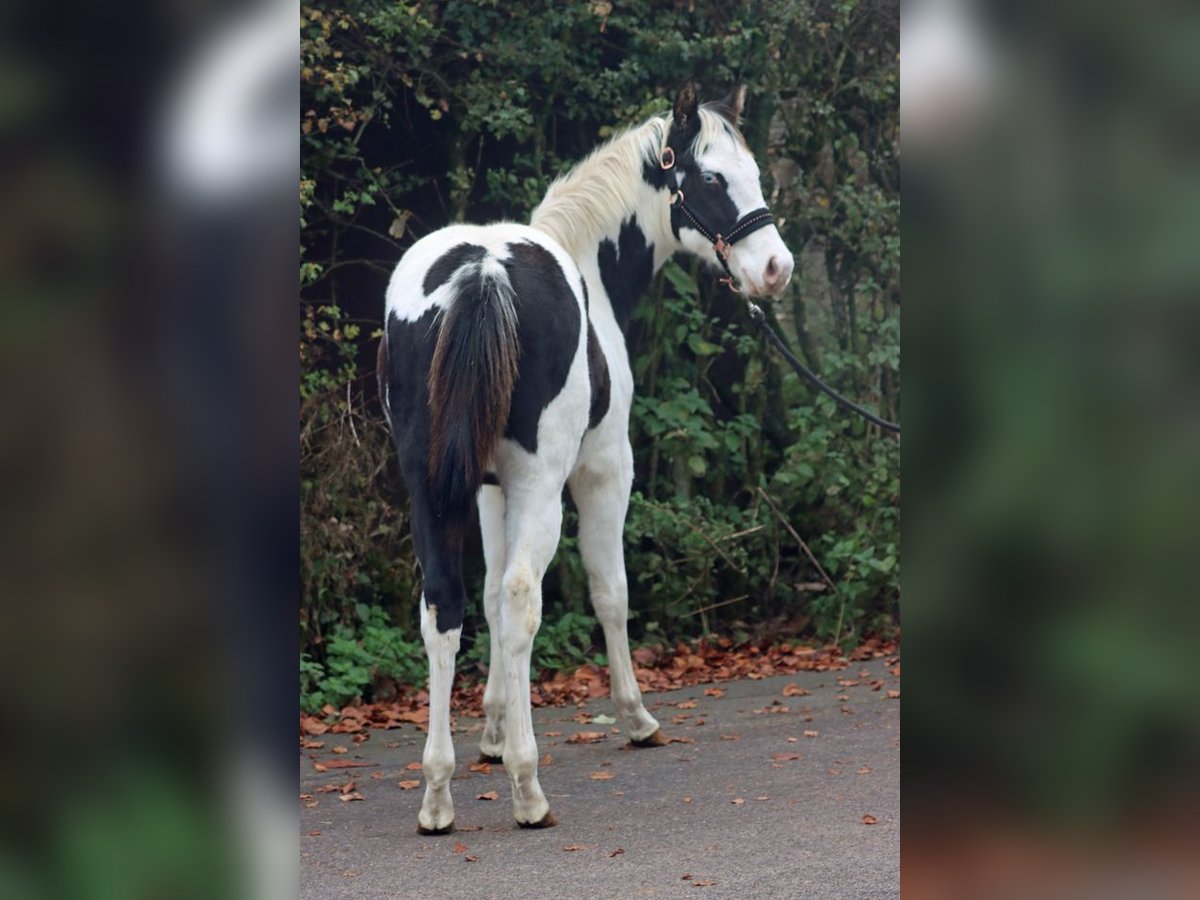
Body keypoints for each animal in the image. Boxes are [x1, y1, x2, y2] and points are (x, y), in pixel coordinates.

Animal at [379, 86, 792, 840]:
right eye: (712, 178)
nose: (776, 270)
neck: (585, 268)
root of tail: (483, 272)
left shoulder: (488, 491)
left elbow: (485, 594)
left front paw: (490, 732)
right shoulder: (603, 471)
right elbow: (609, 590)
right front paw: (635, 717)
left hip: (429, 487)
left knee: (445, 605)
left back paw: (438, 796)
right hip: (544, 487)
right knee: (522, 598)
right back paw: (527, 789)